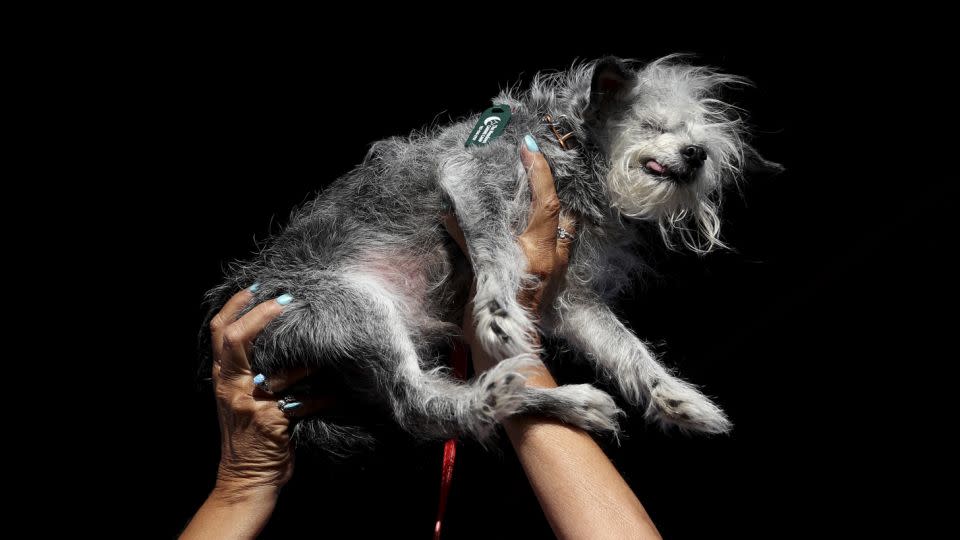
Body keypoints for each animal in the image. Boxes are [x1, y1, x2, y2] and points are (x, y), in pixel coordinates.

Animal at [201, 56, 780, 456]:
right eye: (654, 126)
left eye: (703, 140)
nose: (697, 154)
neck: (566, 141)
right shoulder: (470, 176)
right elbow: (498, 248)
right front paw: (499, 313)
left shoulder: (569, 297)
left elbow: (627, 349)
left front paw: (676, 398)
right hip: (355, 307)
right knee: (421, 405)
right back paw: (533, 397)